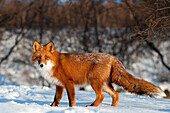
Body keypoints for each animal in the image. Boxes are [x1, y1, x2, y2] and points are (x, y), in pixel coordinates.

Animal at [31, 40, 166, 107]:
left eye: (46, 57)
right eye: (39, 58)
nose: (41, 65)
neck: (55, 63)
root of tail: (112, 57)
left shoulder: (69, 83)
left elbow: (71, 99)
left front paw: (71, 109)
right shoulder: (59, 85)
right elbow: (56, 100)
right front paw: (51, 108)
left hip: (94, 82)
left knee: (101, 96)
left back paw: (92, 106)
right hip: (104, 85)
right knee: (116, 95)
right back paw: (112, 108)